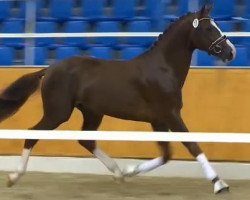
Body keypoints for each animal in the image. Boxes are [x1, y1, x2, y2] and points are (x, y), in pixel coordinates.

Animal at [0, 4, 235, 194]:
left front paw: (131, 170)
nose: (230, 52)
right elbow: (192, 145)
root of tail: (49, 69)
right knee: (32, 134)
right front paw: (219, 184)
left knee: (86, 140)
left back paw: (118, 172)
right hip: (58, 113)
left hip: (92, 112)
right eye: (208, 28)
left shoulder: (158, 120)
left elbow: (166, 154)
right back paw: (13, 177)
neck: (163, 68)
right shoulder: (170, 115)